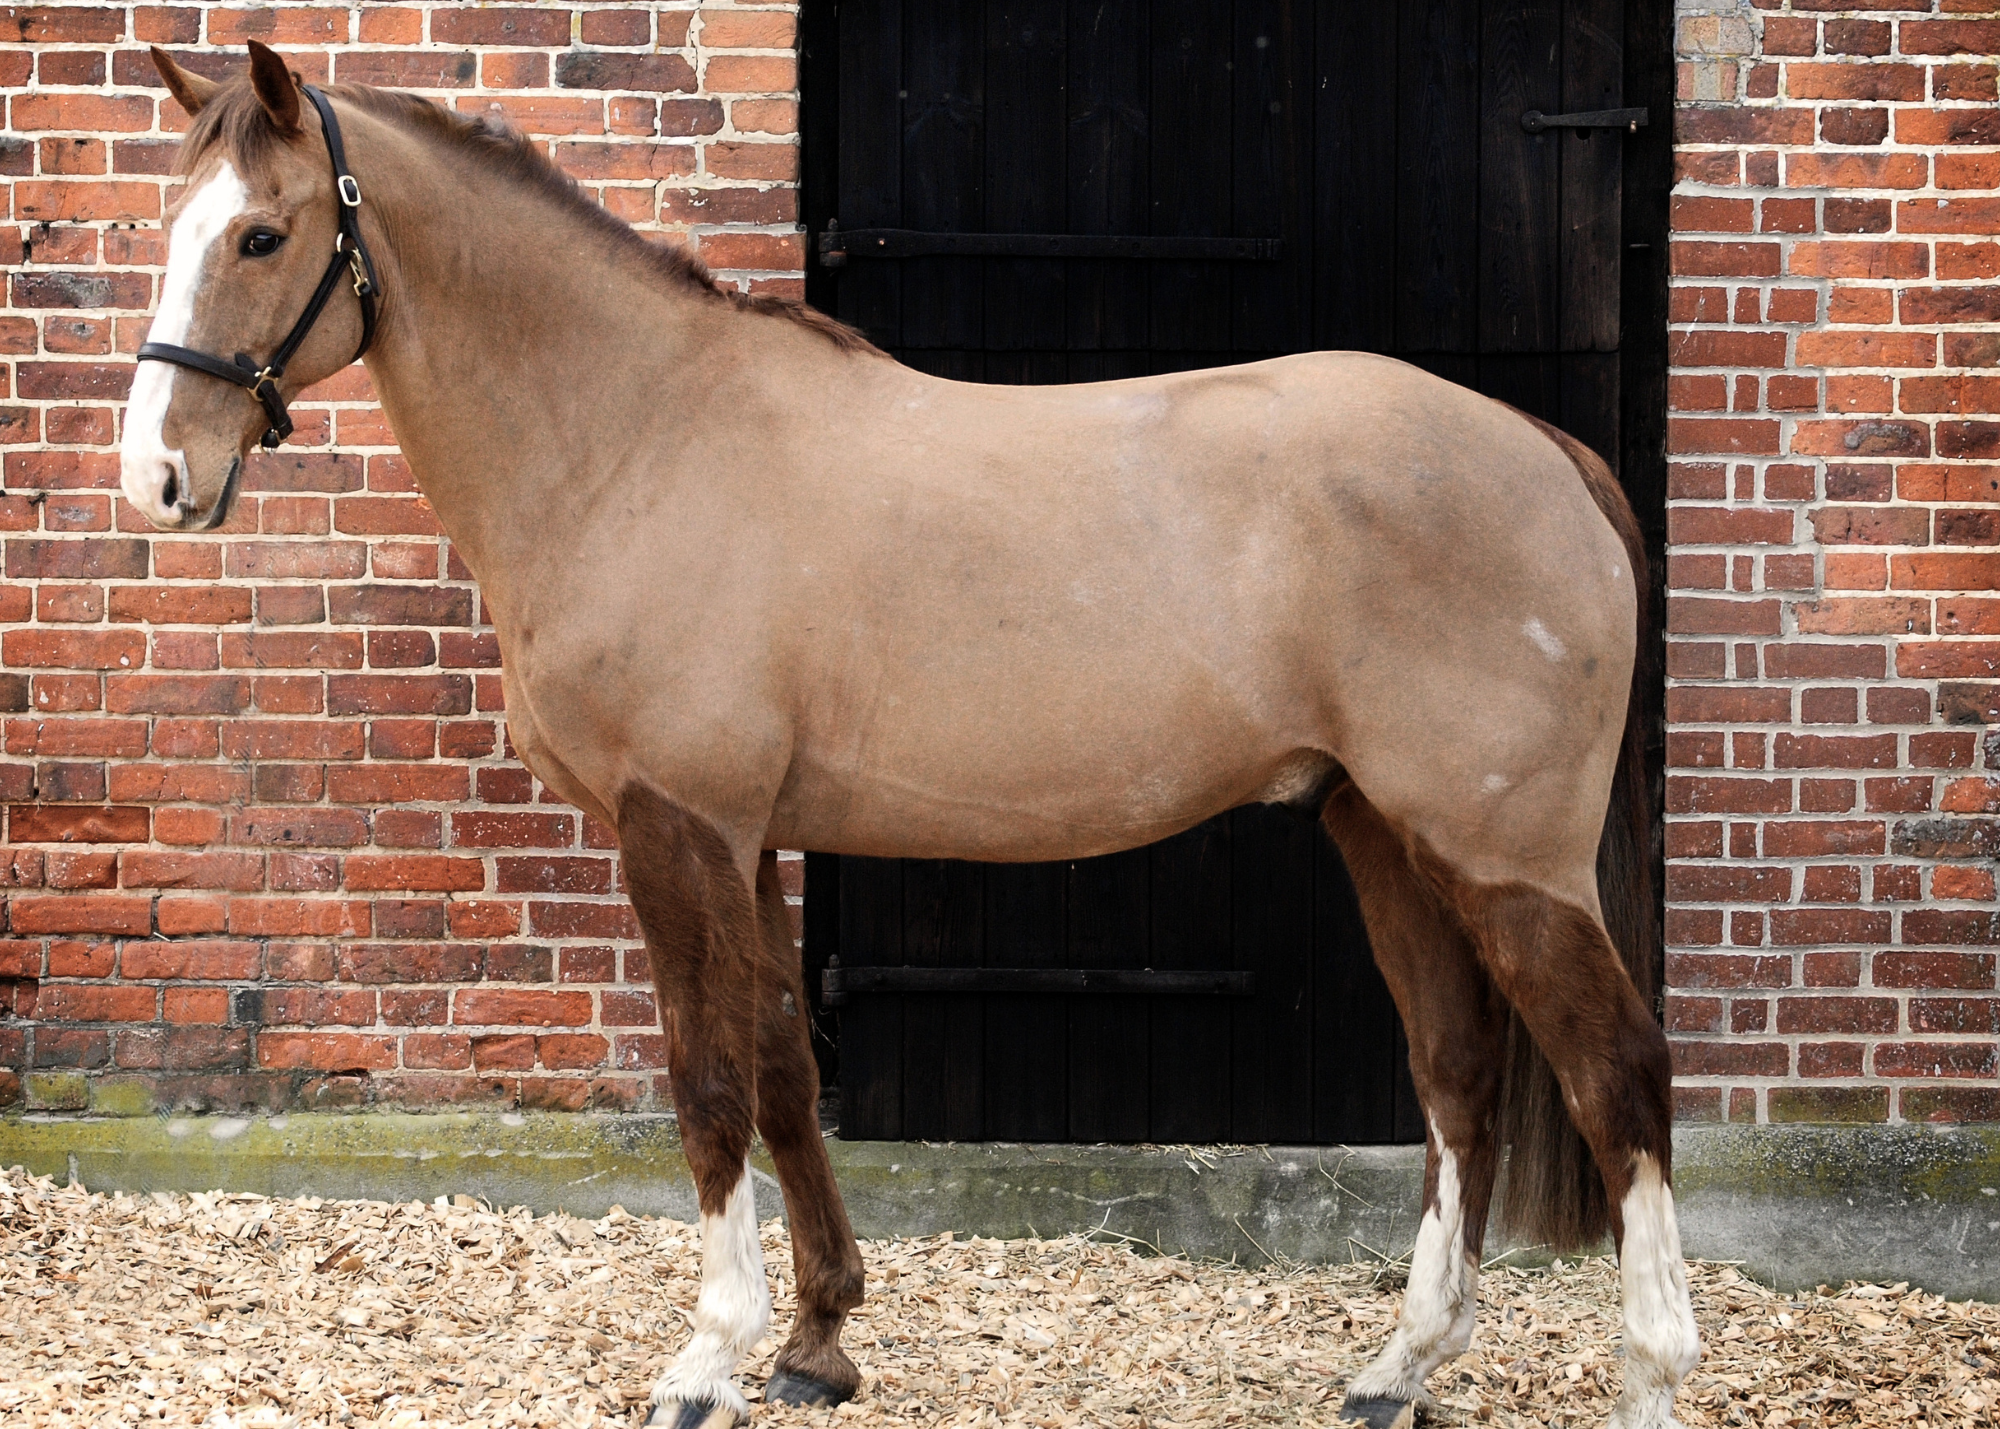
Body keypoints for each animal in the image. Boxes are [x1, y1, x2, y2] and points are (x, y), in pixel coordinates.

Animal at [120, 43, 1700, 1429]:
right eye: (168, 225)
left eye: (261, 235)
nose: (157, 476)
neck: (639, 438)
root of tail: (1547, 452)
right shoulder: (749, 836)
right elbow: (779, 1068)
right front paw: (818, 1342)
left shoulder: (675, 825)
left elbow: (704, 1085)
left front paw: (709, 1358)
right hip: (1383, 828)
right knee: (1459, 1076)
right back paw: (1398, 1367)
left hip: (1505, 857)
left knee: (1616, 1070)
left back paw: (1652, 1372)